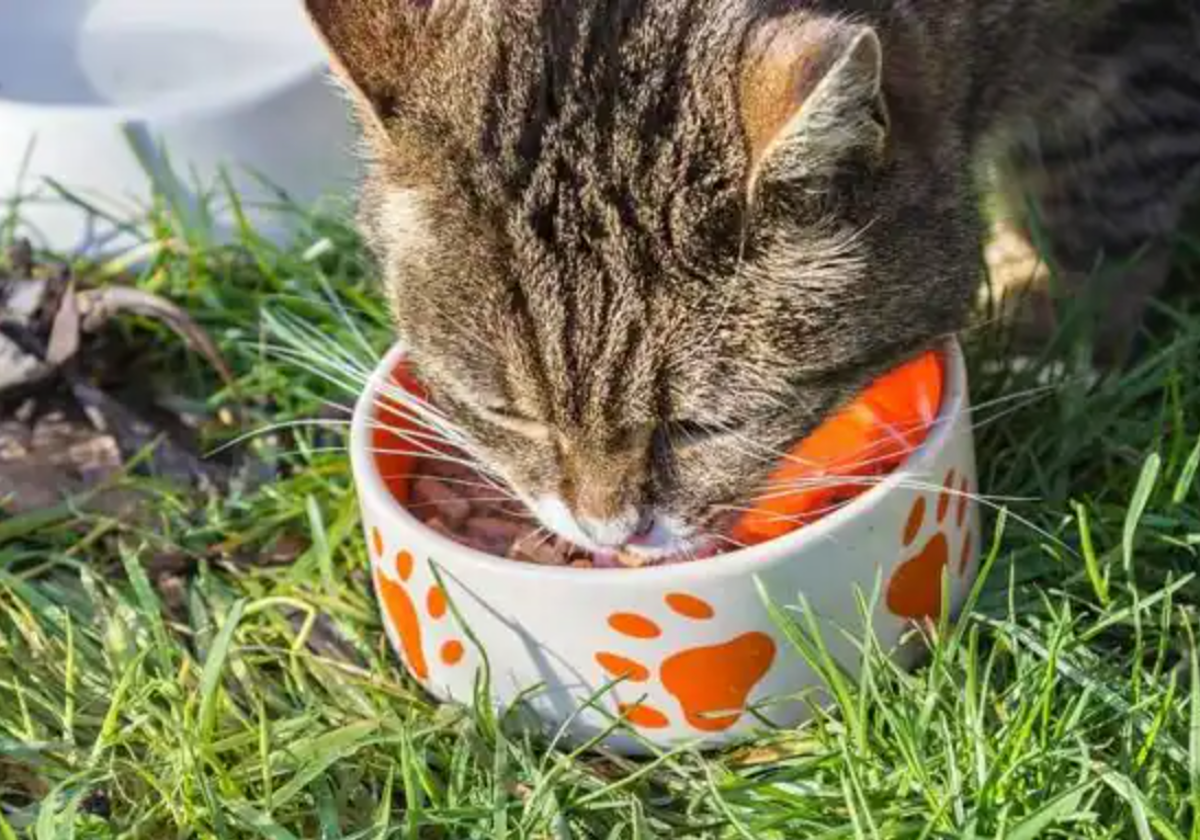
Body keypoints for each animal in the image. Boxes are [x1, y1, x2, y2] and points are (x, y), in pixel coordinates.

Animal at [304, 3, 1200, 561]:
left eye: (705, 426)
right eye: (506, 414)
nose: (609, 533)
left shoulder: (1137, 44)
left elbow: (1102, 188)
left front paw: (1061, 334)